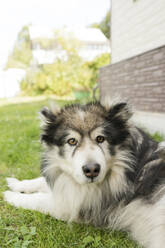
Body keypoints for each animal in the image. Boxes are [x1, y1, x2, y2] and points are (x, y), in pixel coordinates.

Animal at [3, 101, 165, 248]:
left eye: (100, 138)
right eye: (72, 141)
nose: (92, 170)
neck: (127, 166)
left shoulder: (71, 207)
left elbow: (38, 199)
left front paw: (11, 196)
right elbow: (41, 181)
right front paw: (17, 183)